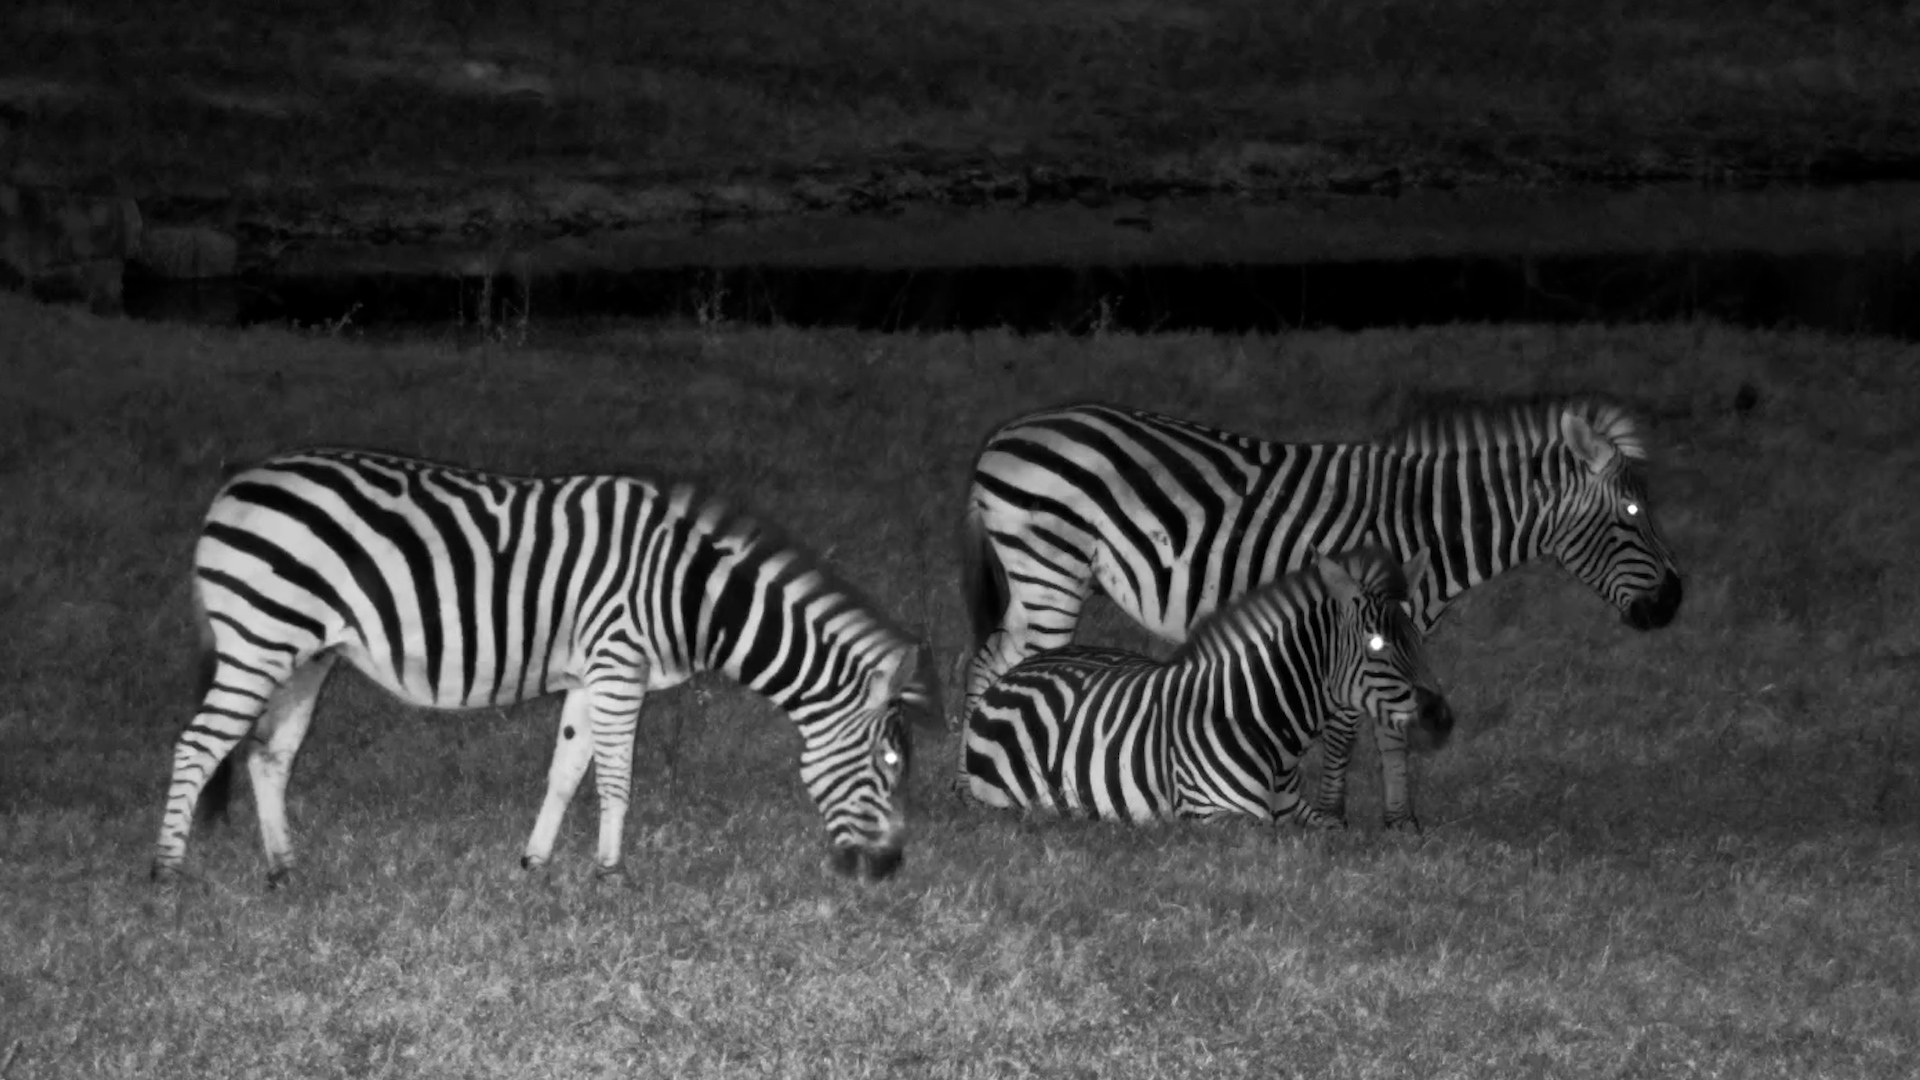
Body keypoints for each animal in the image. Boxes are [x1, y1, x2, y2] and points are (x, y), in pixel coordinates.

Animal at [151, 448, 939, 887]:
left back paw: (283, 870)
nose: (890, 872)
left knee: (266, 757)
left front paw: (536, 866)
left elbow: (566, 772)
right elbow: (617, 778)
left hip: (305, 654)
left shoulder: (593, 676)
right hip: (258, 640)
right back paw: (166, 874)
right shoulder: (619, 666)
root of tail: (235, 481)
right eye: (890, 765)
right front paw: (611, 876)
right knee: (196, 746)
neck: (692, 594)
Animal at [963, 547, 1452, 823]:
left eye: (1417, 639)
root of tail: (1015, 672)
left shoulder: (1296, 810)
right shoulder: (1217, 818)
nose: (1442, 720)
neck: (1263, 724)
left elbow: (1330, 833)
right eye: (1376, 645)